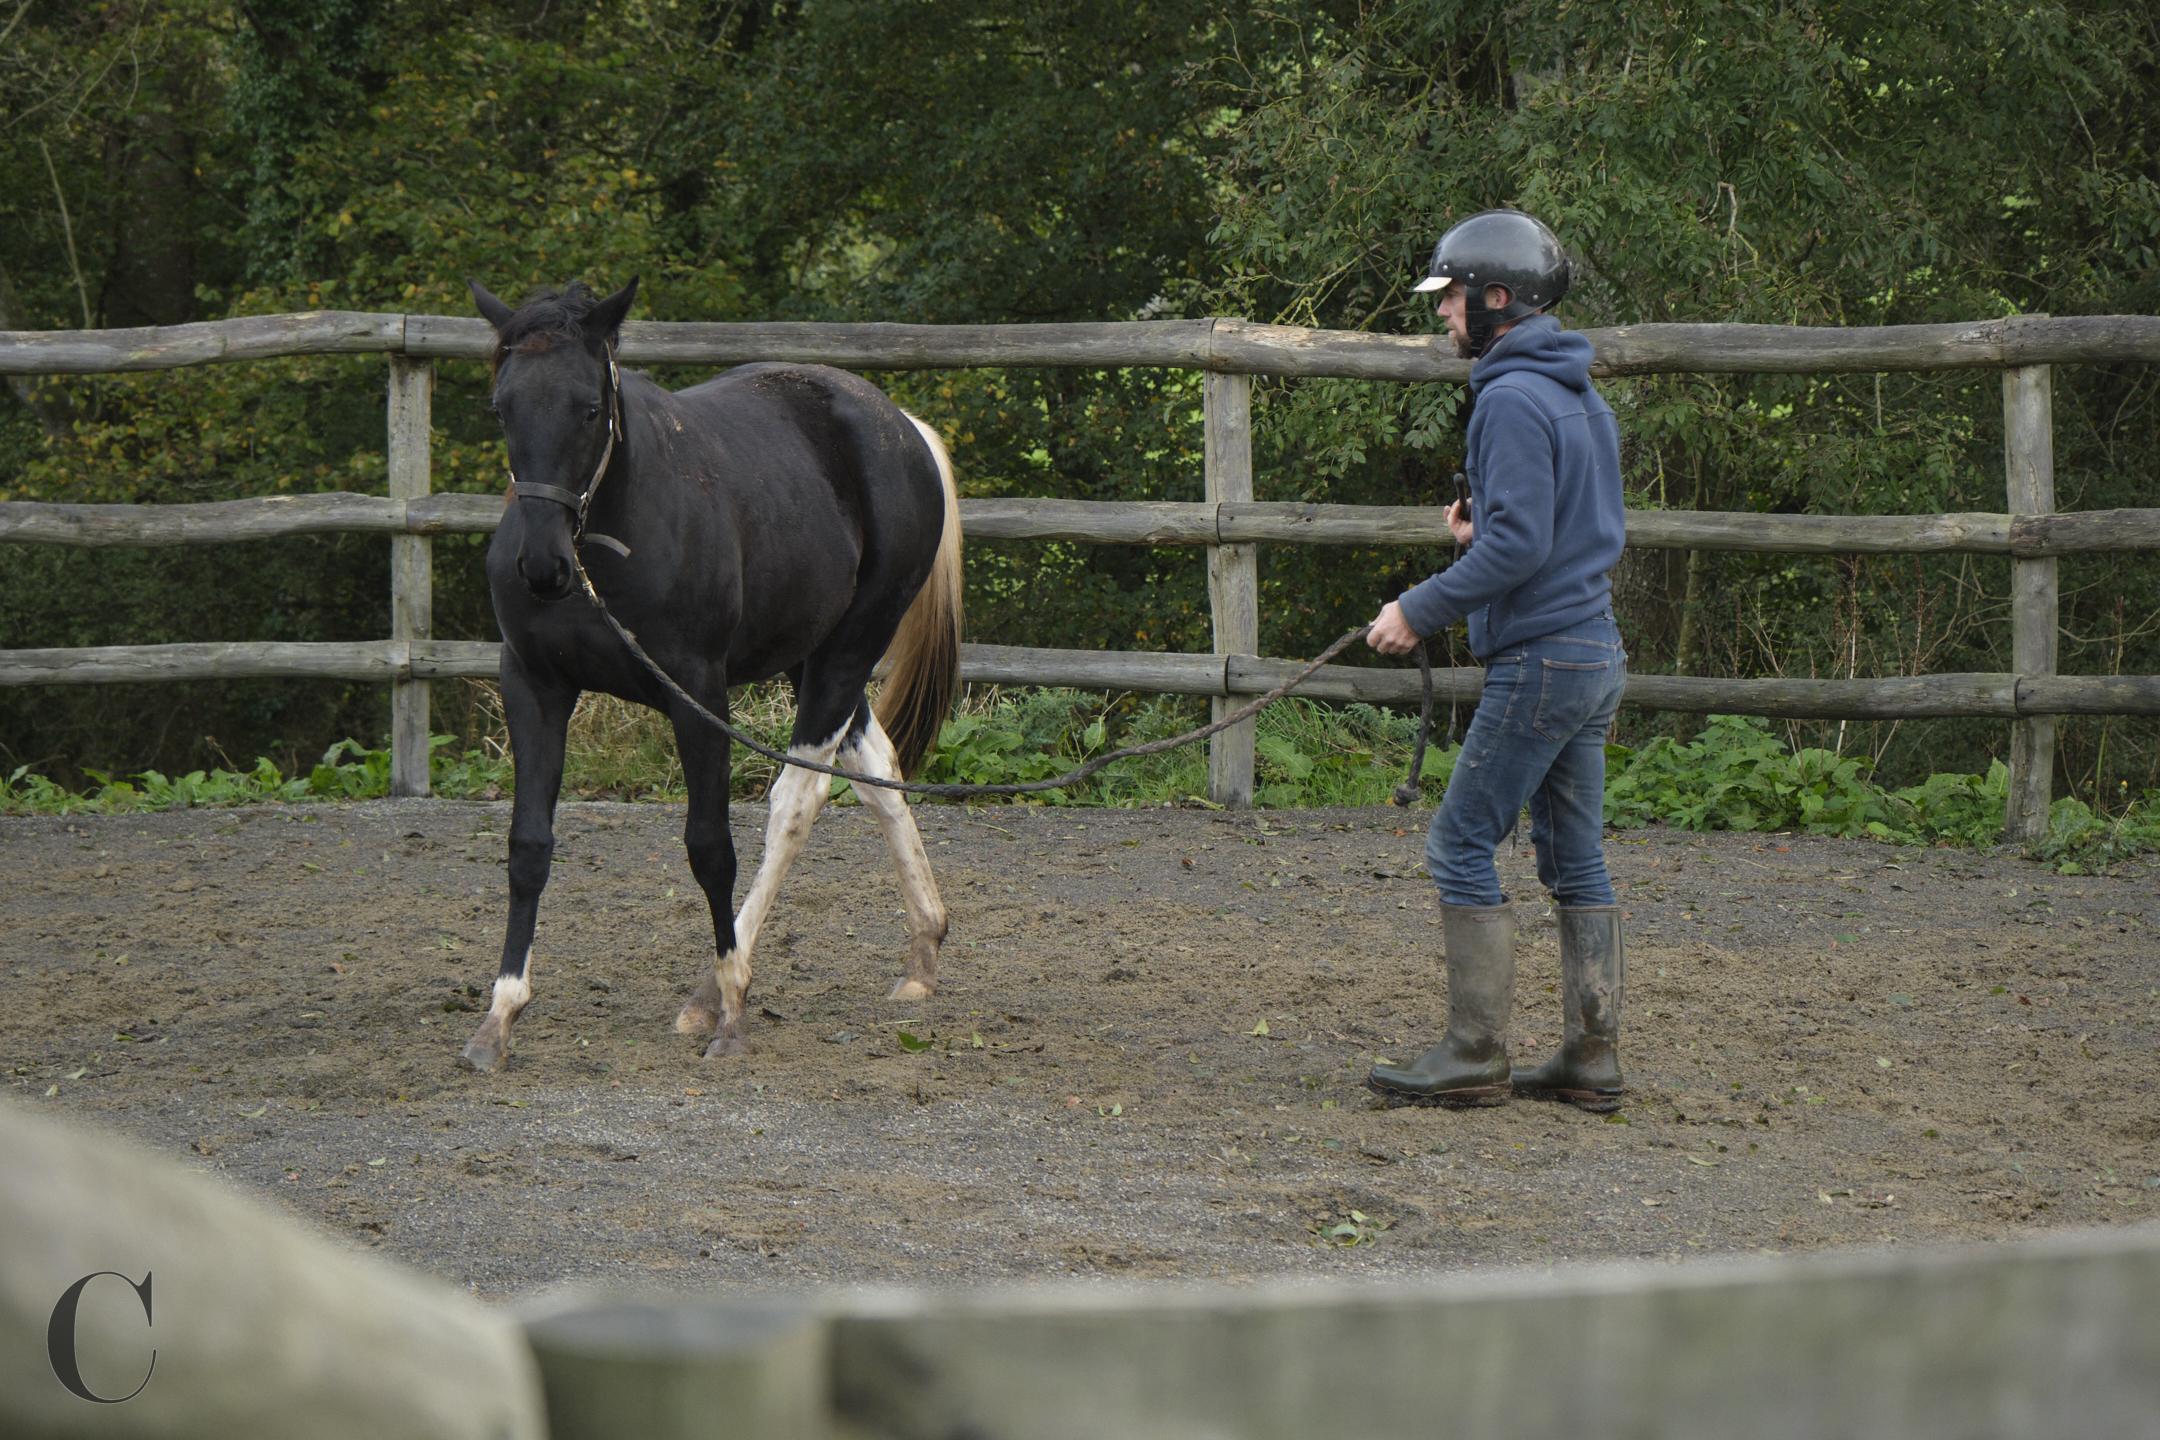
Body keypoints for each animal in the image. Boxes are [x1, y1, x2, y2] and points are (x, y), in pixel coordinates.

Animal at [464, 278, 963, 1070]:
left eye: (589, 407)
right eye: (502, 406)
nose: (541, 568)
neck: (607, 548)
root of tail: (902, 429)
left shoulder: (698, 694)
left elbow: (710, 847)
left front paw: (731, 1010)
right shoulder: (534, 686)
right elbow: (529, 845)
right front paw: (500, 1016)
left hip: (848, 650)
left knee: (797, 799)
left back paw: (715, 990)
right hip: (813, 656)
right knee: (877, 767)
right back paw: (923, 948)